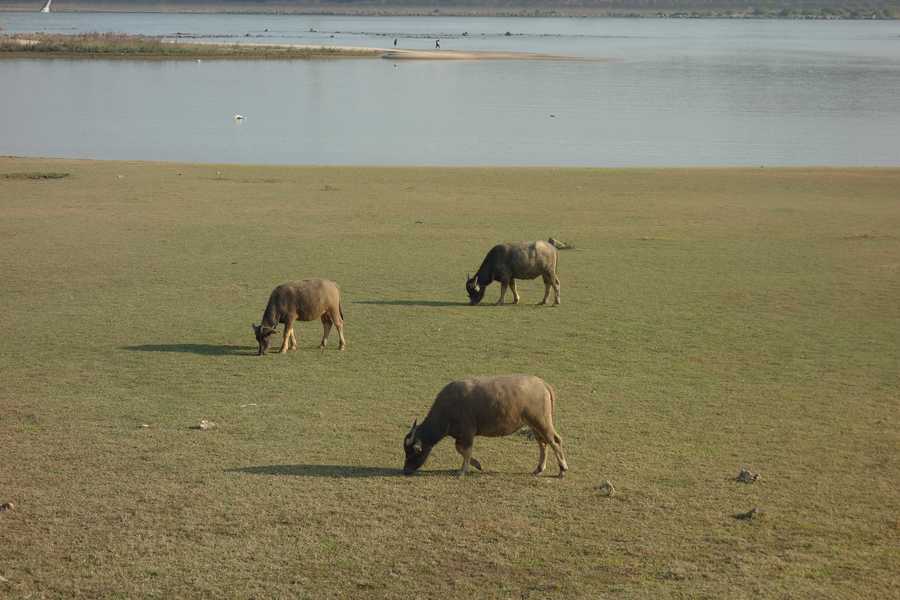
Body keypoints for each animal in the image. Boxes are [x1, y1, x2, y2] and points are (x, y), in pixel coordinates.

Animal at [402, 376, 568, 478]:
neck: (448, 407)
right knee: (543, 443)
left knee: (555, 441)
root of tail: (542, 384)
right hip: (534, 425)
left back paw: (562, 469)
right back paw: (539, 469)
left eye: (413, 452)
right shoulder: (461, 435)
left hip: (542, 422)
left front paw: (462, 471)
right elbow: (460, 449)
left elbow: (465, 451)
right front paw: (477, 465)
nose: (405, 470)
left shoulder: (468, 433)